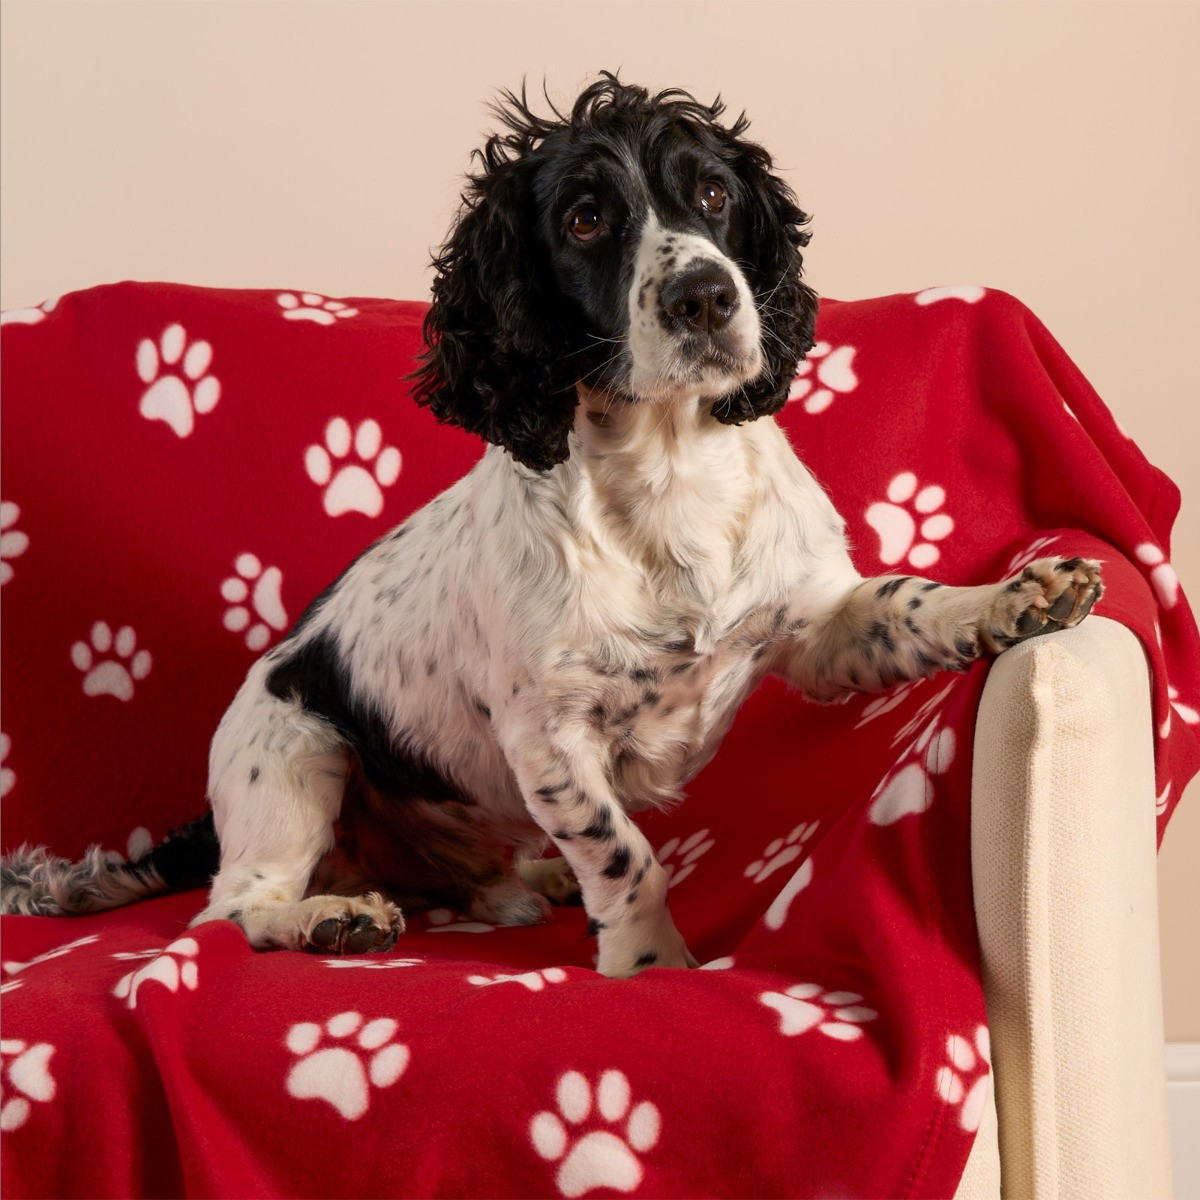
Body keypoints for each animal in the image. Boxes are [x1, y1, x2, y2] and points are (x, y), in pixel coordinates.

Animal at [0, 72, 1099, 974]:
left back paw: (523, 882)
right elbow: (630, 853)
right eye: (583, 218)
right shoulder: (552, 740)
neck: (669, 472)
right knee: (231, 909)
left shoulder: (816, 622)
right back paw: (331, 917)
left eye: (713, 195)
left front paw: (1020, 597)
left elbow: (909, 601)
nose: (706, 297)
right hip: (297, 753)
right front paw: (652, 968)